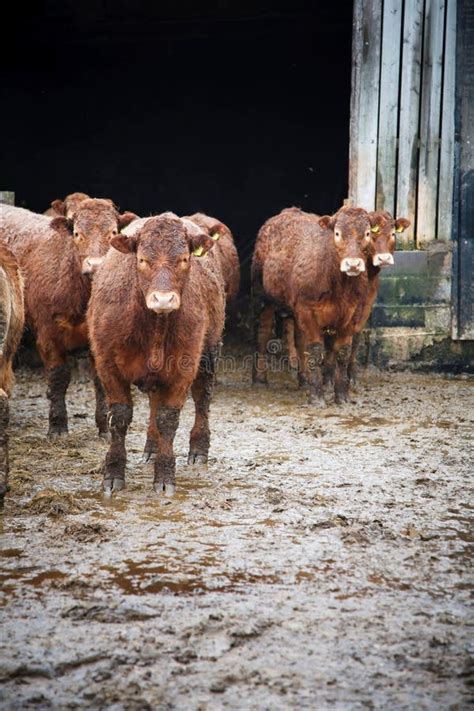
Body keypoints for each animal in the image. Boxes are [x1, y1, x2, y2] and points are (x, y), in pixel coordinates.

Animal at [0, 197, 137, 436]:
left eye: (112, 232)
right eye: (77, 233)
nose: (94, 265)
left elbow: (100, 380)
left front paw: (104, 427)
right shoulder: (47, 333)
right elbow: (59, 377)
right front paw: (57, 425)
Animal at [88, 214, 226, 498]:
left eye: (183, 259)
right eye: (141, 260)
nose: (163, 300)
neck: (153, 326)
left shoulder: (184, 366)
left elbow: (168, 419)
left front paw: (164, 475)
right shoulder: (107, 365)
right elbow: (120, 417)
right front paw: (113, 473)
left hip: (208, 354)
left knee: (202, 399)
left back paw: (198, 449)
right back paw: (150, 448)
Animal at [252, 206, 378, 406]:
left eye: (367, 233)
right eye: (337, 233)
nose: (352, 264)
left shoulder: (352, 315)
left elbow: (342, 352)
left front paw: (341, 396)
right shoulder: (308, 311)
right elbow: (315, 350)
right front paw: (317, 396)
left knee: (298, 340)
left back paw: (303, 379)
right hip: (262, 295)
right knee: (262, 334)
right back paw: (260, 378)